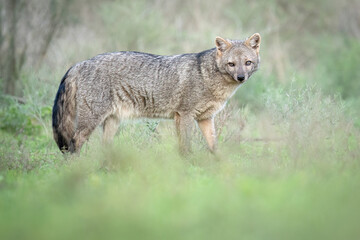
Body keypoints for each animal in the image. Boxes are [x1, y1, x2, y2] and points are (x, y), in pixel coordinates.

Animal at [52, 32, 260, 154]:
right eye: (231, 64)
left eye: (247, 63)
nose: (241, 77)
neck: (208, 78)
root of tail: (80, 63)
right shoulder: (184, 115)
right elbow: (185, 147)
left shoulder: (205, 118)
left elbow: (214, 146)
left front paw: (219, 167)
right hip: (90, 122)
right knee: (73, 143)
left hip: (112, 122)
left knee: (104, 147)